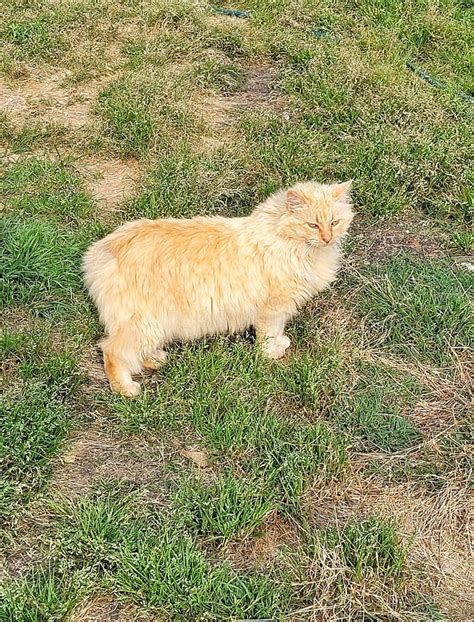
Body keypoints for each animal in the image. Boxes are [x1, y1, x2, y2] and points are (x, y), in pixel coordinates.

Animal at [83, 180, 354, 398]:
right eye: (312, 225)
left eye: (334, 222)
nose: (327, 238)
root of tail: (101, 250)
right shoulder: (273, 307)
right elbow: (269, 334)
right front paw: (272, 352)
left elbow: (275, 331)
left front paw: (278, 345)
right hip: (143, 323)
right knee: (112, 351)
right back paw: (126, 389)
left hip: (152, 324)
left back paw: (154, 358)